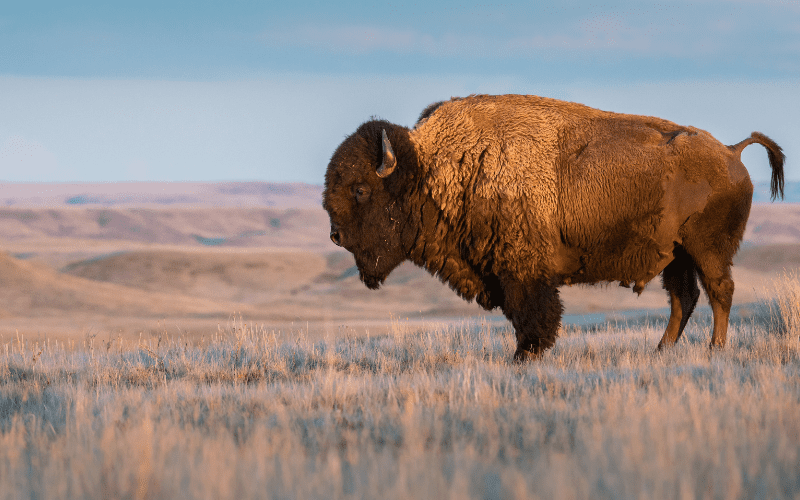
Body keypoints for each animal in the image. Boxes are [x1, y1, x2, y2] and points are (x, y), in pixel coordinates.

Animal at [322, 94, 784, 360]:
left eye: (361, 189)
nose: (335, 235)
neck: (437, 170)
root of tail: (731, 152)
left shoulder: (523, 273)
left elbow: (533, 315)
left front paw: (524, 357)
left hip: (708, 249)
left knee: (720, 292)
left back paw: (715, 349)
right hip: (676, 254)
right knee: (683, 299)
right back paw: (660, 351)